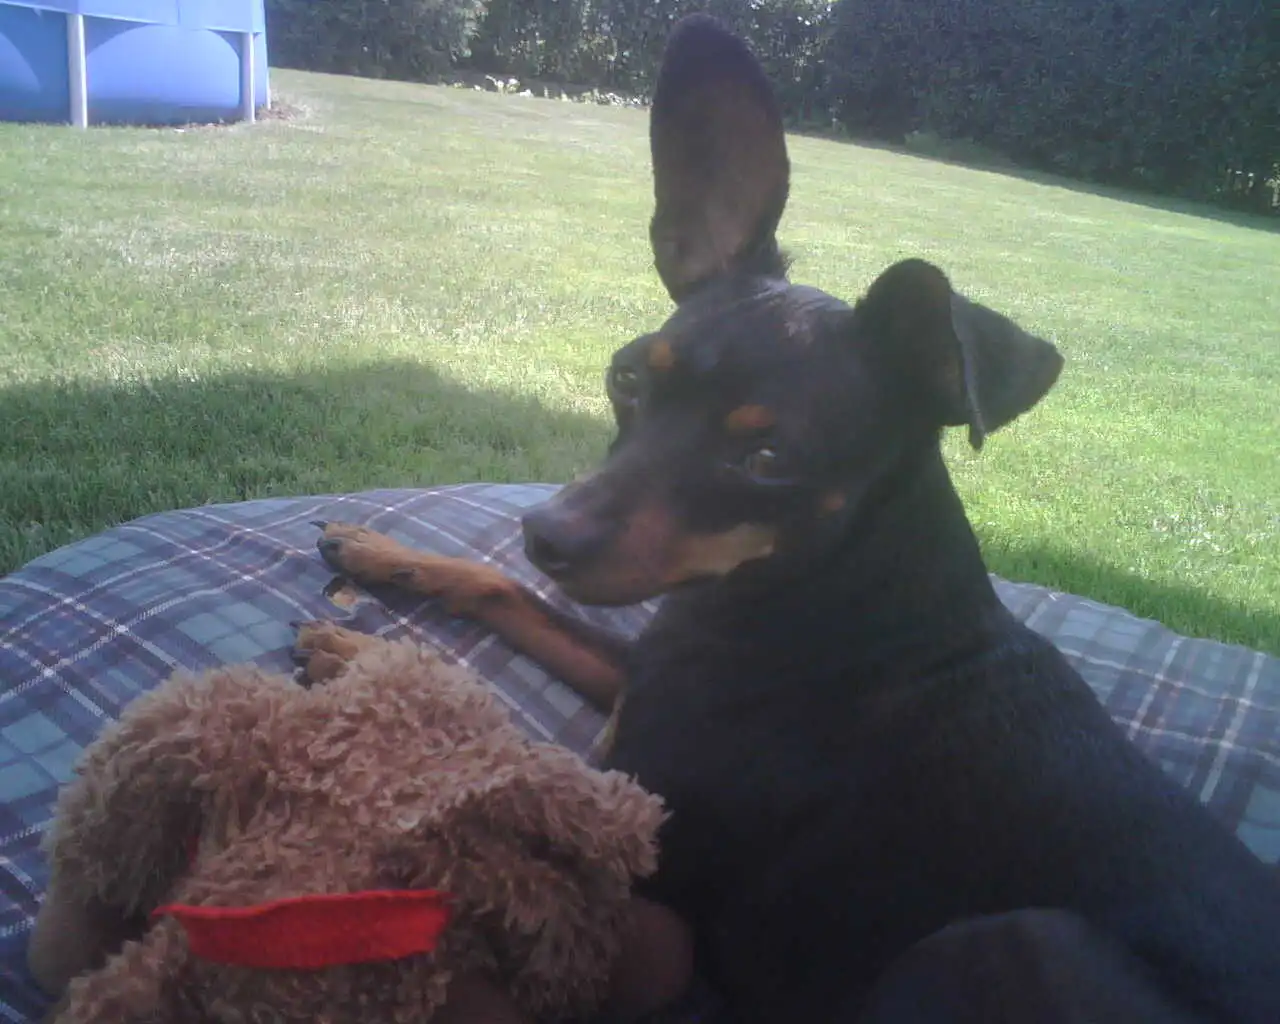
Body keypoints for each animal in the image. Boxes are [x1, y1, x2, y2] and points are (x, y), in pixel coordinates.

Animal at [297, 14, 1280, 1023]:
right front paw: (381, 555)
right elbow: (509, 597)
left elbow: (509, 751)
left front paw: (368, 666)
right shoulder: (638, 677)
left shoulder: (638, 843)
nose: (546, 535)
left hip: (1014, 940)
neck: (797, 595)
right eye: (626, 377)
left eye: (768, 463)